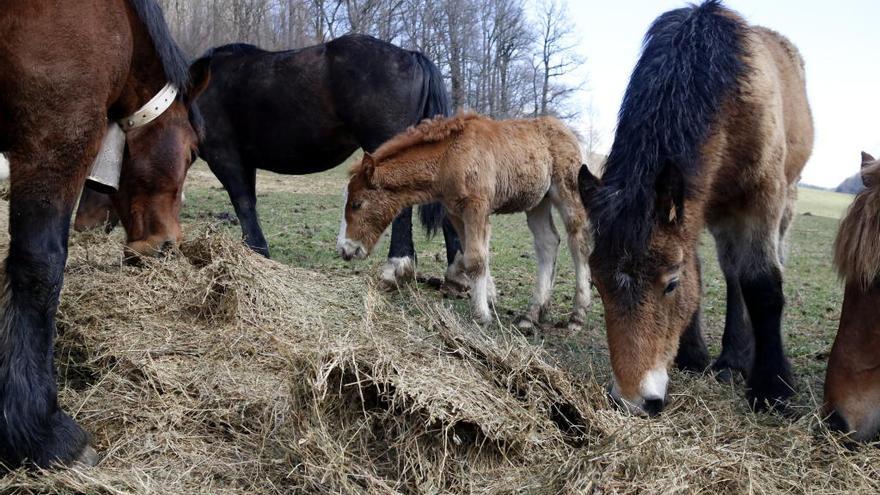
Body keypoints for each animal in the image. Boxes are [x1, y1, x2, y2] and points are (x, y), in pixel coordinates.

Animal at [336, 114, 592, 328]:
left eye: (357, 204)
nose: (344, 249)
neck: (449, 157)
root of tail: (568, 132)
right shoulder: (455, 212)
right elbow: (470, 254)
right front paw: (489, 297)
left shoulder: (476, 207)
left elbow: (476, 259)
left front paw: (481, 315)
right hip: (537, 202)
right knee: (548, 242)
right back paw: (532, 314)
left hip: (567, 191)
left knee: (578, 241)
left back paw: (577, 315)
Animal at [576, 0, 812, 416]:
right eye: (598, 285)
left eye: (670, 283)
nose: (634, 401)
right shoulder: (694, 210)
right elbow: (705, 275)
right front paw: (694, 356)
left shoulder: (762, 198)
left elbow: (763, 285)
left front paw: (773, 388)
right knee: (732, 272)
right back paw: (732, 356)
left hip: (783, 202)